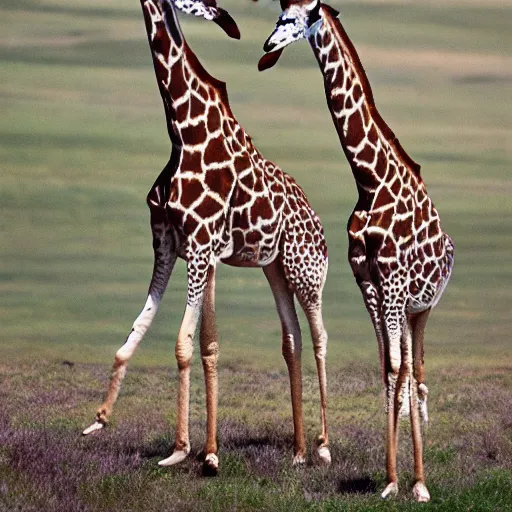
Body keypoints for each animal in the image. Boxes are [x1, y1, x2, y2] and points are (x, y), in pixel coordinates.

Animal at [83, 0, 332, 476]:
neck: (183, 131)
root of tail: (320, 225)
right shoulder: (169, 243)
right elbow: (155, 333)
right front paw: (99, 419)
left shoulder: (200, 245)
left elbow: (183, 342)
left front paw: (182, 448)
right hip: (273, 267)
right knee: (291, 338)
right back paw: (298, 450)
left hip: (306, 272)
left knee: (320, 336)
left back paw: (325, 447)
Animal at [258, 1, 454, 504]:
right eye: (278, 14)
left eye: (300, 18)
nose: (268, 46)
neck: (370, 179)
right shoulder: (368, 279)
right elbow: (385, 366)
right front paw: (390, 480)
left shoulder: (394, 278)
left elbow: (398, 369)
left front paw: (413, 483)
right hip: (403, 305)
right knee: (405, 368)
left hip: (423, 307)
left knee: (415, 367)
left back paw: (421, 477)